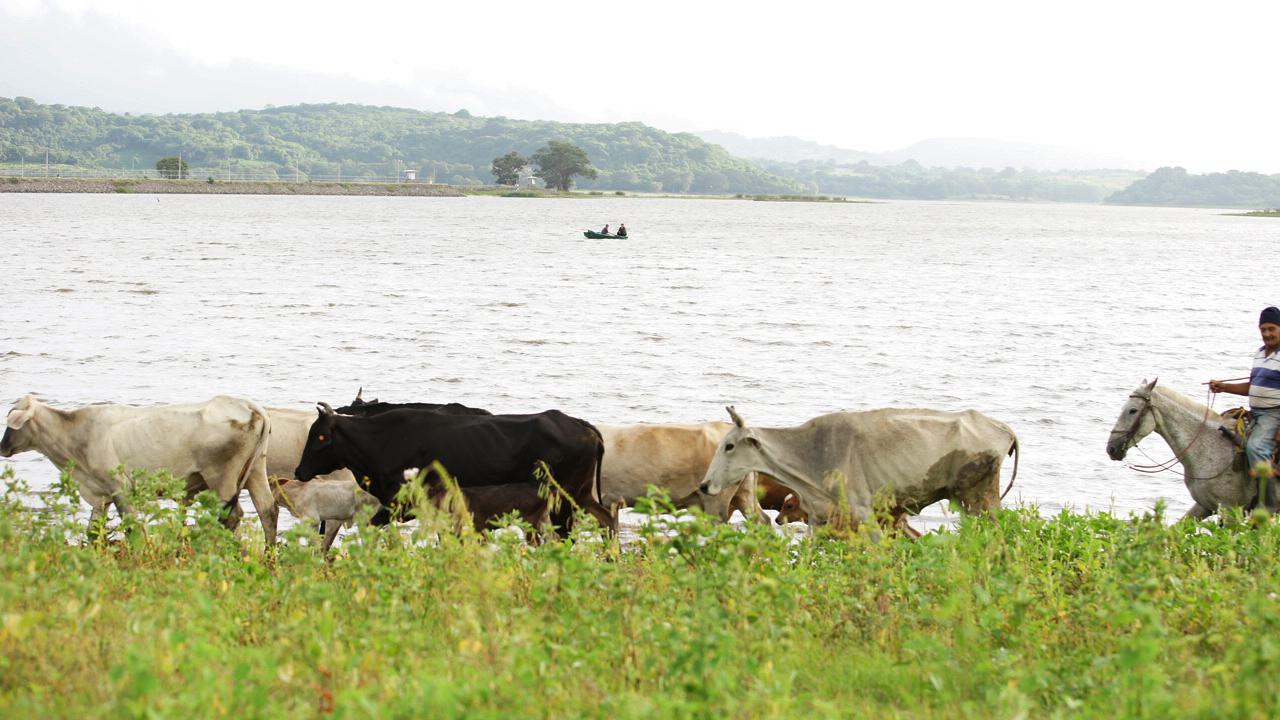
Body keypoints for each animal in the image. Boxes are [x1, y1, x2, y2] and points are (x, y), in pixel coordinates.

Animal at [294, 404, 614, 532]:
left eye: (319, 436)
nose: (298, 472)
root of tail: (581, 425)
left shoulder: (404, 501)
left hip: (562, 498)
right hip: (580, 493)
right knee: (607, 519)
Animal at [696, 404, 1013, 532]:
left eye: (729, 445)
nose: (704, 485)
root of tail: (1003, 427)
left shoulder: (863, 510)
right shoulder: (818, 516)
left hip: (978, 501)